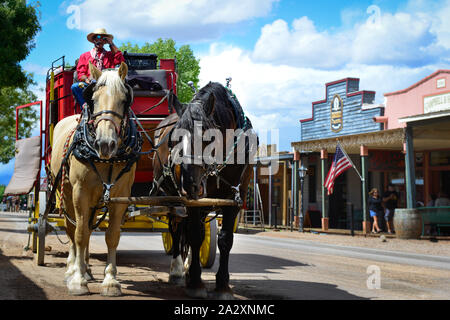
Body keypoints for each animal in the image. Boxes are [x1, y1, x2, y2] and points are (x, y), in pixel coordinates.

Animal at [50, 61, 138, 296]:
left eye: (124, 100)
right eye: (93, 99)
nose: (105, 144)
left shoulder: (120, 195)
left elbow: (112, 236)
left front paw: (110, 281)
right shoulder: (80, 191)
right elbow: (80, 234)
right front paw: (78, 280)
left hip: (96, 200)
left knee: (88, 228)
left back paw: (87, 268)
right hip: (66, 194)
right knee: (73, 229)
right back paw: (73, 269)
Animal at [152, 81, 255, 298]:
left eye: (208, 138)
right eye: (175, 139)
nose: (190, 184)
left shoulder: (235, 197)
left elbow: (225, 240)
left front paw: (222, 285)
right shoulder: (192, 201)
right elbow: (195, 234)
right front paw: (196, 282)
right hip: (174, 197)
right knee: (176, 227)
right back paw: (178, 270)